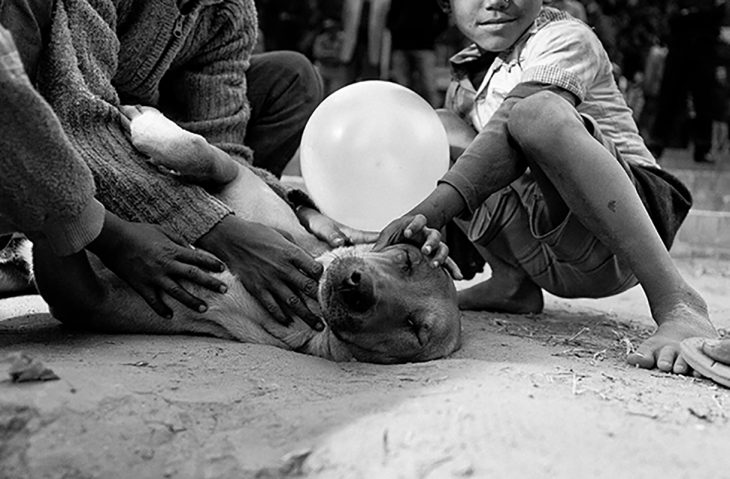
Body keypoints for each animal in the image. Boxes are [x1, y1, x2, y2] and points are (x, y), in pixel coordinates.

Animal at [29, 108, 460, 364]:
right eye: (406, 260)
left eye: (414, 329)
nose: (357, 287)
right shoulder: (238, 181)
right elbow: (204, 152)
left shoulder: (86, 298)